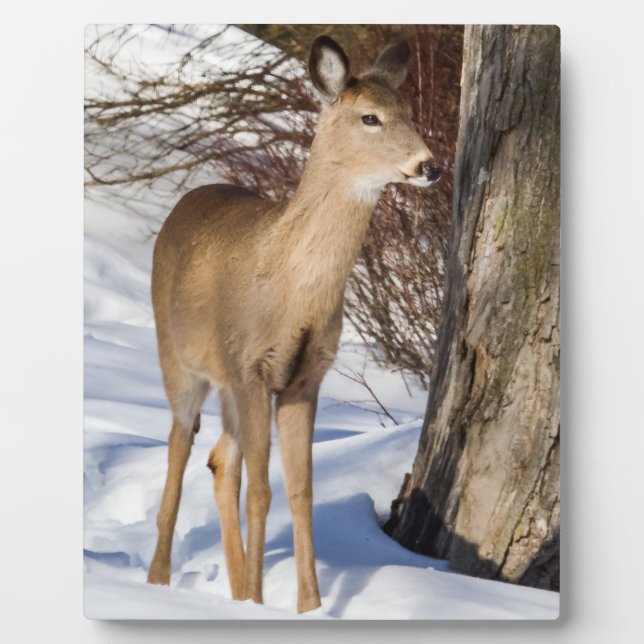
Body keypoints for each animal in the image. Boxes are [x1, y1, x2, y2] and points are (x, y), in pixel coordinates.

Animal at [146, 34, 441, 613]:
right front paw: (266, 604)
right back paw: (158, 581)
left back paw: (236, 590)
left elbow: (301, 492)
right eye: (370, 117)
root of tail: (188, 198)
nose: (429, 166)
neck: (291, 293)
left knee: (220, 461)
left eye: (411, 113)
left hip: (229, 387)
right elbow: (262, 491)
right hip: (180, 360)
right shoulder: (252, 366)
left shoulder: (305, 376)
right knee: (179, 446)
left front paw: (310, 607)